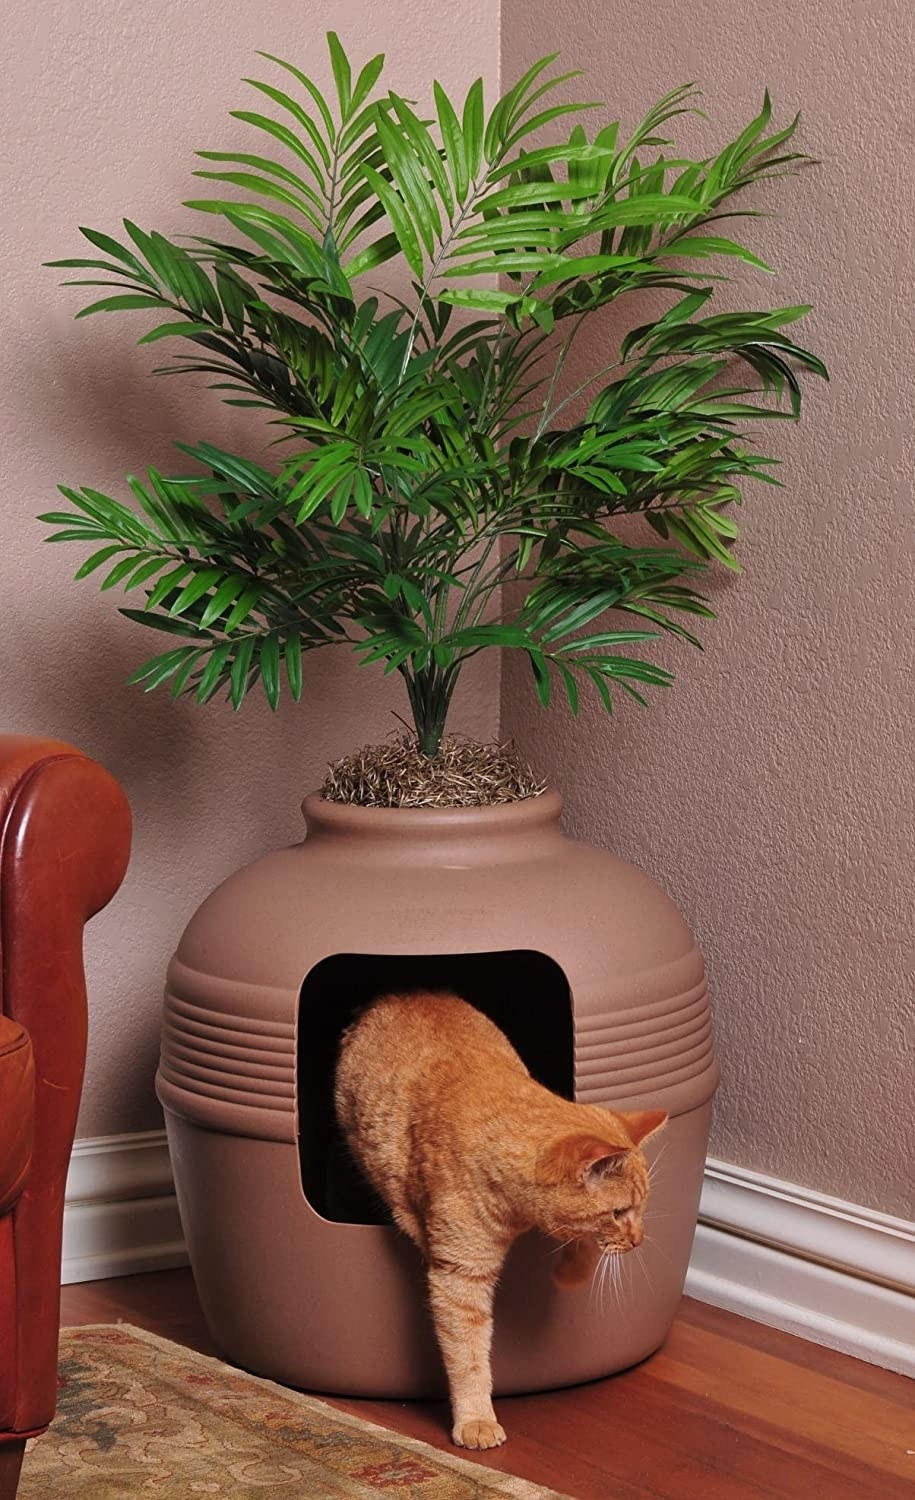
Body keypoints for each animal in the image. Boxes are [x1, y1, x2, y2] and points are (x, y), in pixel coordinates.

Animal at [334, 990, 663, 1446]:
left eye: (639, 1210)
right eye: (618, 1212)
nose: (638, 1241)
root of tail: (398, 994)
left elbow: (578, 1239)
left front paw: (572, 1273)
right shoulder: (460, 1276)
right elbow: (468, 1355)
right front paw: (476, 1419)